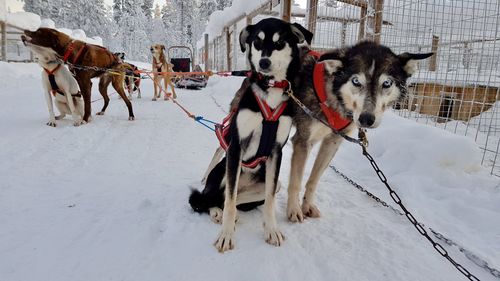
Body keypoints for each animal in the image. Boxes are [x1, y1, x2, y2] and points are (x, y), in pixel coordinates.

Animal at [189, 18, 310, 252]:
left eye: (279, 42)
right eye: (257, 41)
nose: (263, 63)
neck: (270, 90)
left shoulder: (276, 152)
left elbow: (269, 200)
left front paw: (271, 230)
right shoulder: (236, 148)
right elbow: (229, 201)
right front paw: (226, 235)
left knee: (227, 198)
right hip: (222, 172)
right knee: (210, 199)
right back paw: (216, 212)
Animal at [286, 41, 434, 221]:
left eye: (386, 83)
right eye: (356, 81)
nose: (366, 119)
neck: (333, 97)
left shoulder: (332, 142)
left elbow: (314, 180)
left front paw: (307, 205)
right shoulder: (303, 141)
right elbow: (295, 182)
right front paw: (294, 209)